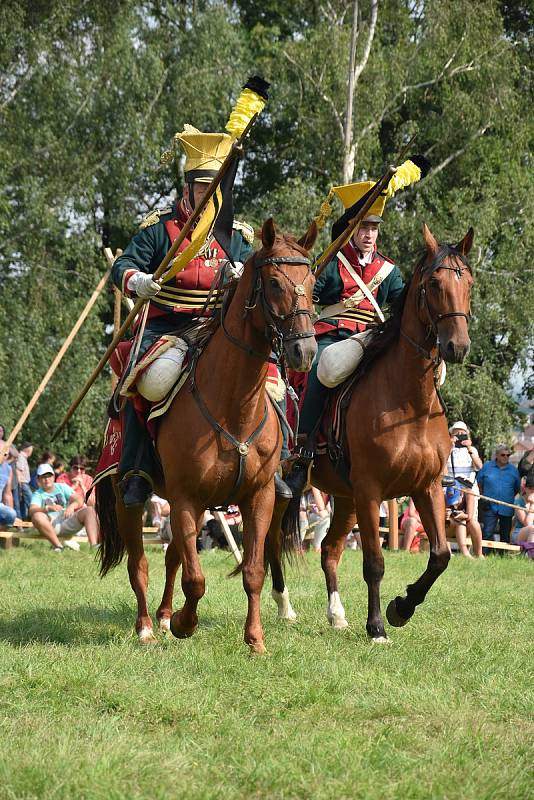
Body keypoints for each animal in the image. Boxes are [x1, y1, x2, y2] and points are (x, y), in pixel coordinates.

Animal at [95, 217, 318, 648]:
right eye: (275, 283)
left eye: (313, 282)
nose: (305, 351)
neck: (233, 408)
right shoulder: (186, 497)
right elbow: (195, 579)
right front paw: (186, 624)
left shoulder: (259, 497)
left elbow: (252, 571)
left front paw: (255, 640)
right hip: (128, 497)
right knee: (140, 563)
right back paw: (147, 627)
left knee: (172, 558)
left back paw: (164, 616)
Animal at [270, 222, 476, 640]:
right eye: (434, 283)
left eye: (469, 283)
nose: (457, 346)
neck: (410, 404)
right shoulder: (370, 490)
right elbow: (375, 562)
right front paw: (378, 625)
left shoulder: (426, 487)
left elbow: (441, 556)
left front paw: (402, 607)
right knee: (270, 542)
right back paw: (284, 606)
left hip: (344, 498)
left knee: (329, 550)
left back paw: (336, 614)